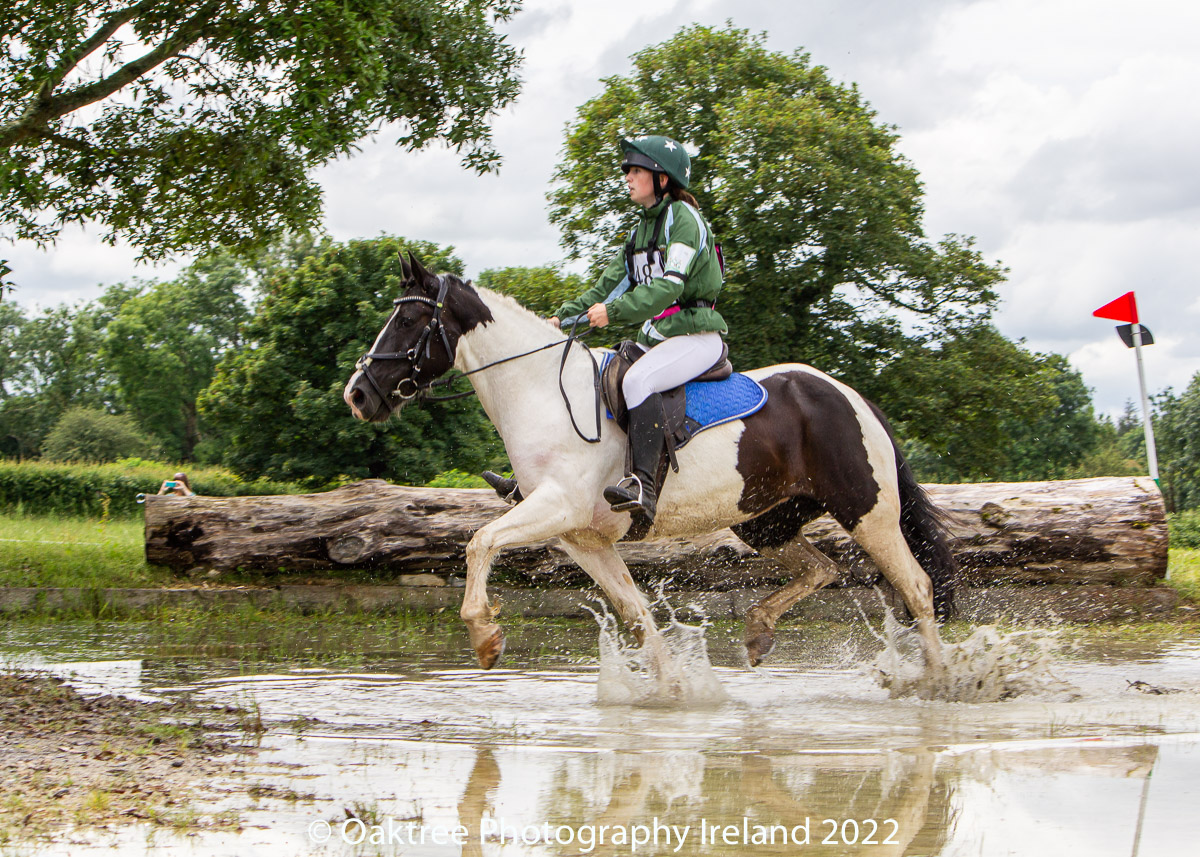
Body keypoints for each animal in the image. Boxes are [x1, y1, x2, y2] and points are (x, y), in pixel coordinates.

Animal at [345, 250, 955, 686]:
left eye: (408, 320)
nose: (358, 394)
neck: (542, 391)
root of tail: (852, 397)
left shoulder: (556, 507)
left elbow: (479, 543)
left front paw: (484, 637)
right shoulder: (583, 537)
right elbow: (637, 615)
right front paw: (670, 694)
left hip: (865, 512)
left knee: (917, 587)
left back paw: (939, 682)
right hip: (766, 521)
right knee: (821, 570)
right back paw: (759, 631)